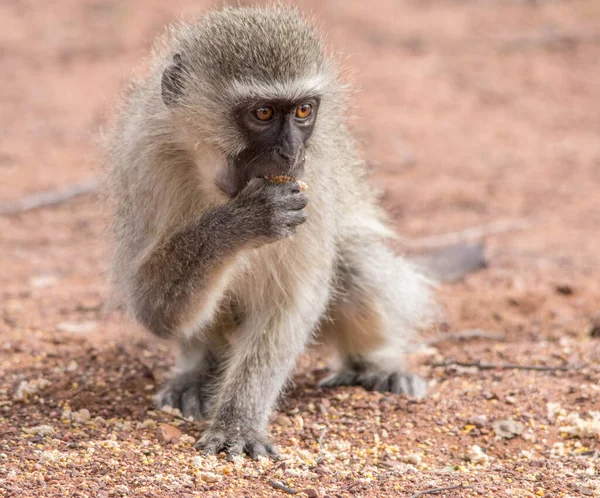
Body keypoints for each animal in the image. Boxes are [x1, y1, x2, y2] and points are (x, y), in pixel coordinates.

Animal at [106, 5, 436, 462]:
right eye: (262, 113)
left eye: (303, 111)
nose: (291, 153)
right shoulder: (146, 160)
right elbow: (151, 308)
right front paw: (242, 222)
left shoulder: (310, 180)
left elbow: (290, 301)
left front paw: (238, 421)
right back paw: (199, 370)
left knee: (353, 263)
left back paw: (375, 366)